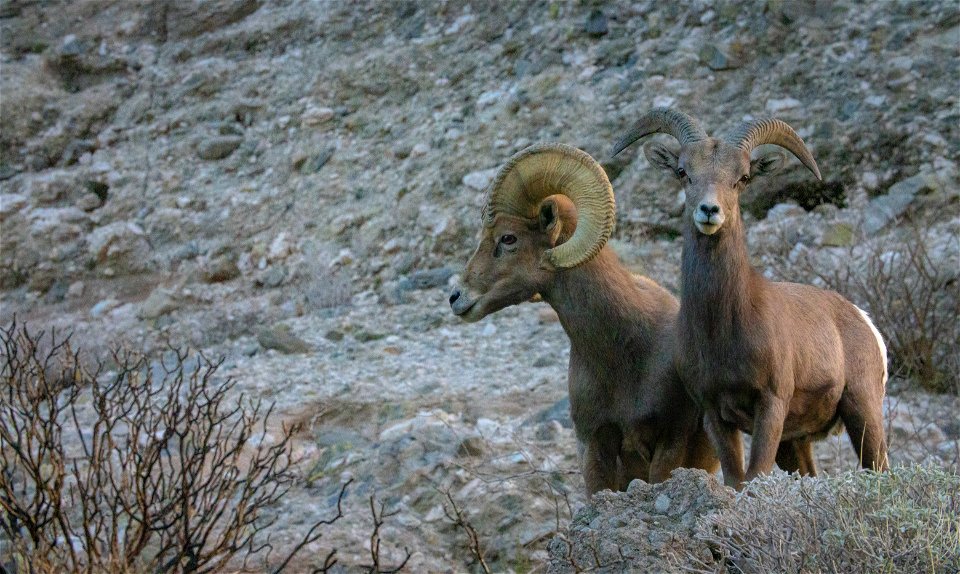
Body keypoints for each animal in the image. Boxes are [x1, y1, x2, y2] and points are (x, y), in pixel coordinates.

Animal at [612, 109, 888, 490]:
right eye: (683, 172)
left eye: (742, 178)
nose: (709, 210)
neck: (723, 329)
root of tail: (864, 320)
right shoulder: (715, 413)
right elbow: (735, 478)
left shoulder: (770, 405)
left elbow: (756, 474)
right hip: (795, 443)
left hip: (862, 410)